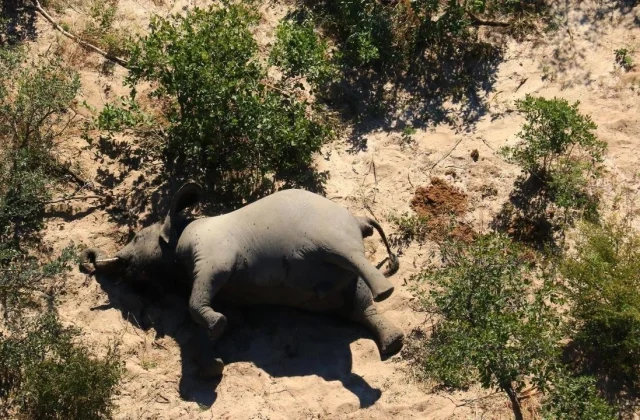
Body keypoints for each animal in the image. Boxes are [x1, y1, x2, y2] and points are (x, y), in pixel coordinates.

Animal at [80, 182, 404, 375]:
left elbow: (199, 296)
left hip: (332, 233)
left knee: (351, 259)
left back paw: (386, 293)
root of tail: (359, 220)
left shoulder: (213, 253)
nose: (87, 261)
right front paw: (216, 356)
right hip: (339, 282)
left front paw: (217, 329)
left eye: (136, 237)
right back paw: (394, 344)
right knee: (357, 306)